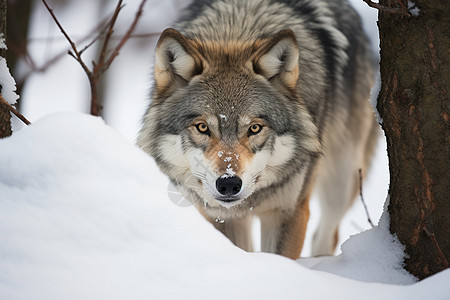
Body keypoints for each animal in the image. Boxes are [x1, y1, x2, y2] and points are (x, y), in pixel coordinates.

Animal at [139, 0, 378, 258]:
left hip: (342, 183)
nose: (229, 184)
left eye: (254, 128)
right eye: (202, 127)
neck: (236, 29)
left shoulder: (288, 211)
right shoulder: (219, 216)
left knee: (327, 235)